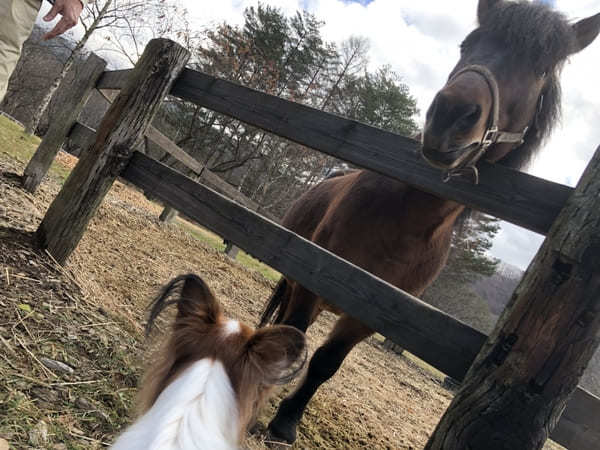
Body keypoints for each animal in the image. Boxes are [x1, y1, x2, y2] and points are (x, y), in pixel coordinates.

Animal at [258, 0, 600, 442]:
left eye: (540, 68)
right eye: (467, 44)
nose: (451, 113)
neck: (402, 224)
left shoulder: (366, 316)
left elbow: (326, 363)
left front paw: (287, 421)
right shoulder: (309, 276)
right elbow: (297, 336)